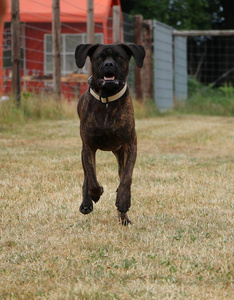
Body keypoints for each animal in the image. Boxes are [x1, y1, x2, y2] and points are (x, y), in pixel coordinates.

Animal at [74, 43, 144, 224]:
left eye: (119, 57)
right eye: (99, 57)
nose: (109, 64)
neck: (107, 101)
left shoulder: (130, 146)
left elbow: (127, 178)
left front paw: (123, 201)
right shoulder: (88, 147)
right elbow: (91, 177)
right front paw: (95, 193)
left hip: (120, 154)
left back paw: (123, 217)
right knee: (87, 176)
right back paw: (87, 203)